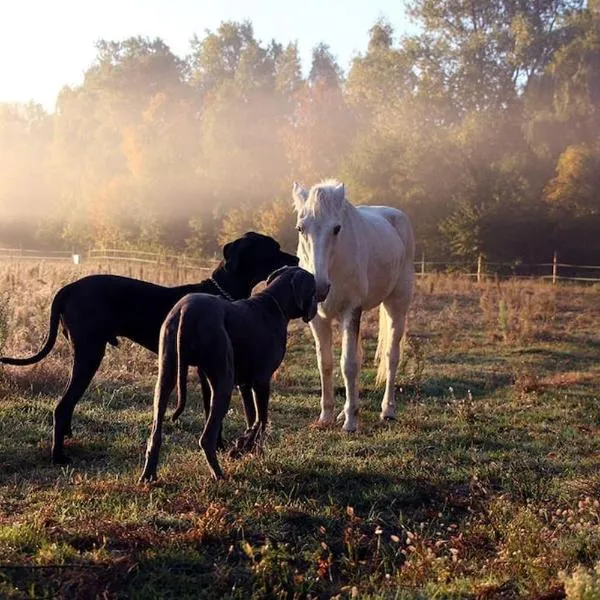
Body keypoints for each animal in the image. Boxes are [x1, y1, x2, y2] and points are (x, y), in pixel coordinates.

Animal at [0, 231, 298, 464]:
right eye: (273, 248)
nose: (296, 259)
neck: (222, 293)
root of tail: (69, 288)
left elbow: (211, 409)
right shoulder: (212, 370)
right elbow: (214, 411)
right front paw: (221, 445)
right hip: (89, 353)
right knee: (62, 406)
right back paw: (58, 456)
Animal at [139, 268, 318, 482]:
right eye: (314, 287)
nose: (326, 289)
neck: (274, 303)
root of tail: (186, 311)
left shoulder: (245, 384)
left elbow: (252, 417)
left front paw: (249, 449)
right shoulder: (261, 380)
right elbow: (262, 419)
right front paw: (243, 449)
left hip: (166, 376)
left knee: (155, 433)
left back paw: (148, 475)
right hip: (224, 382)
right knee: (206, 438)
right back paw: (218, 475)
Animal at [292, 179, 414, 432]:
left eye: (337, 229)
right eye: (300, 228)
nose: (319, 288)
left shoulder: (351, 311)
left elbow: (348, 364)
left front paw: (350, 422)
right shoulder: (317, 319)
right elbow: (326, 364)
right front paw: (327, 416)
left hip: (396, 306)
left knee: (392, 356)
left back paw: (387, 410)